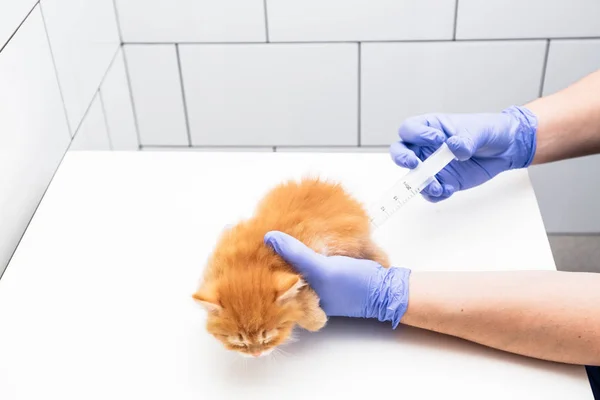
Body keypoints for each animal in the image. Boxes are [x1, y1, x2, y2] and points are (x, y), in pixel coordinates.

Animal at [193, 177, 390, 356]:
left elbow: (305, 298)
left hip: (356, 240)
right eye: (240, 343)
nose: (257, 353)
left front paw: (318, 319)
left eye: (267, 338)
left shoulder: (312, 245)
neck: (250, 261)